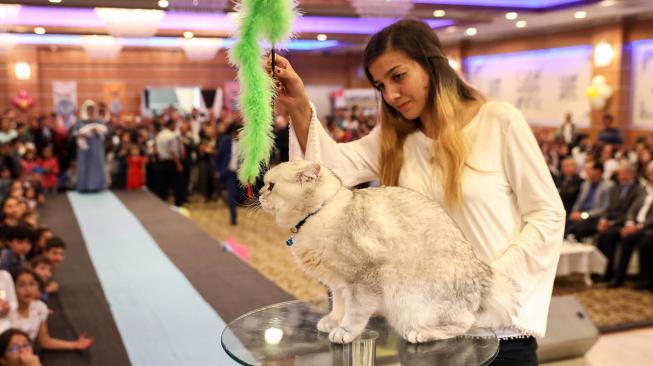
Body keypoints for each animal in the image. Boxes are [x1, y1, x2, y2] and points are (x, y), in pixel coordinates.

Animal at [258, 160, 516, 344]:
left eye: (271, 186)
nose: (258, 192)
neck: (319, 213)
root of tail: (480, 270)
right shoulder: (339, 285)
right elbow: (339, 306)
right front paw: (332, 321)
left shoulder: (363, 280)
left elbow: (354, 313)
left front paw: (344, 331)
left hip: (416, 301)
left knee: (463, 324)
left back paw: (421, 333)